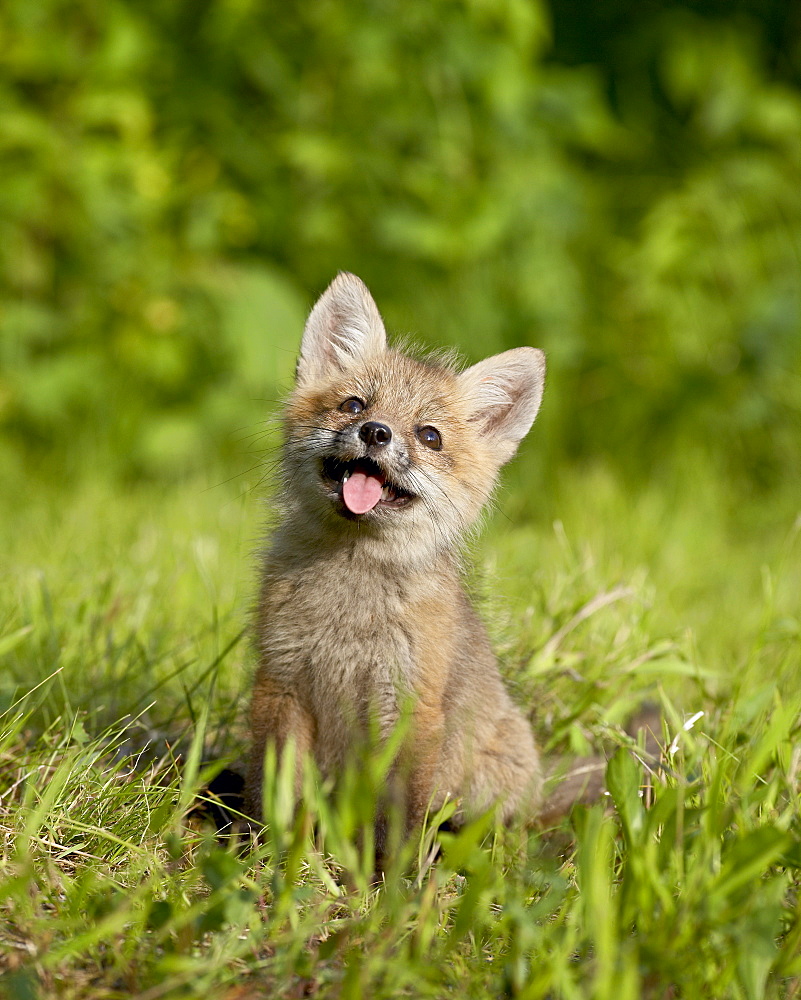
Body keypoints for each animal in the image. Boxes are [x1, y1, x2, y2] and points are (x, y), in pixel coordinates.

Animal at [248, 272, 552, 852]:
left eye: (429, 436)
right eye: (353, 405)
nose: (376, 432)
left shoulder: (409, 708)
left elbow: (399, 822)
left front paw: (393, 877)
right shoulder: (280, 684)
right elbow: (279, 800)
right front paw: (264, 856)